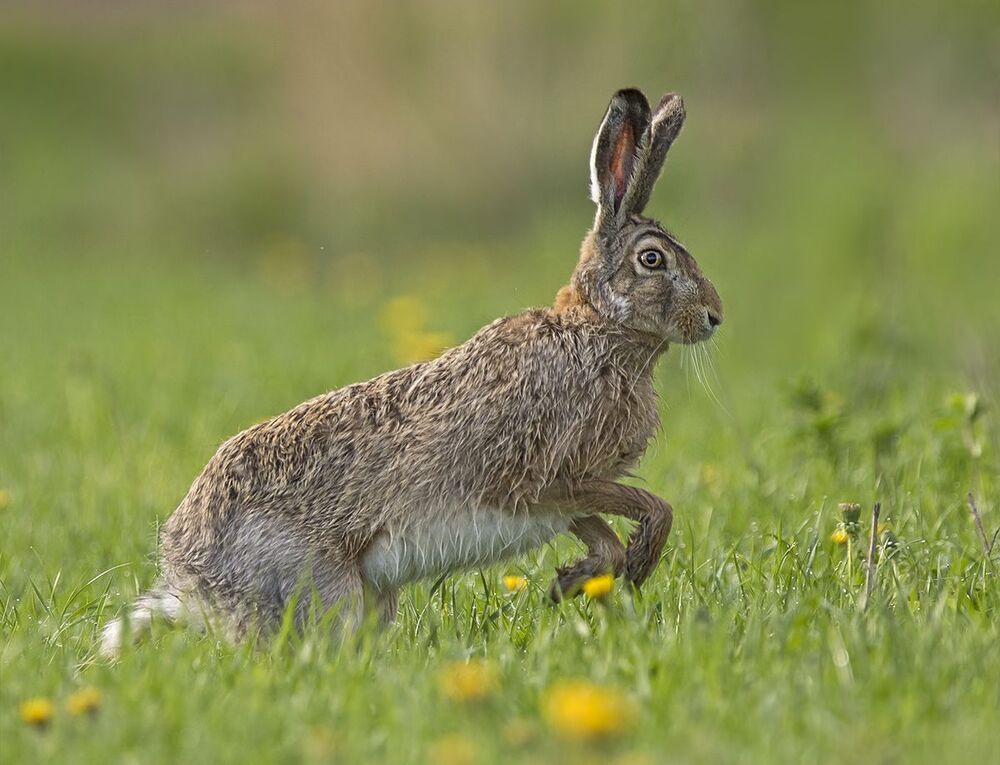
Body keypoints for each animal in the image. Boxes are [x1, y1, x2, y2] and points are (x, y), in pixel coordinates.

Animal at [99, 88, 723, 657]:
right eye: (652, 259)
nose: (715, 316)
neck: (596, 331)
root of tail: (191, 578)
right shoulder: (547, 478)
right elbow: (651, 506)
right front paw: (632, 565)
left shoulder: (560, 497)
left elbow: (601, 529)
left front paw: (574, 580)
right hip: (325, 591)